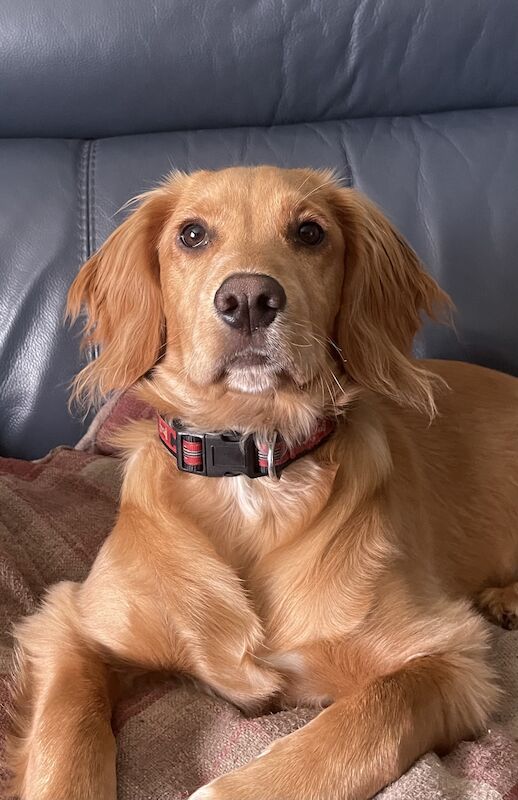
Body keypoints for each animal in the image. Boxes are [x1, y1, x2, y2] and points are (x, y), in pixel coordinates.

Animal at [7, 166, 518, 796]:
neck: (250, 465)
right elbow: (67, 729)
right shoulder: (69, 625)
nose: (248, 298)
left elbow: (367, 719)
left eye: (310, 232)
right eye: (192, 234)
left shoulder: (453, 656)